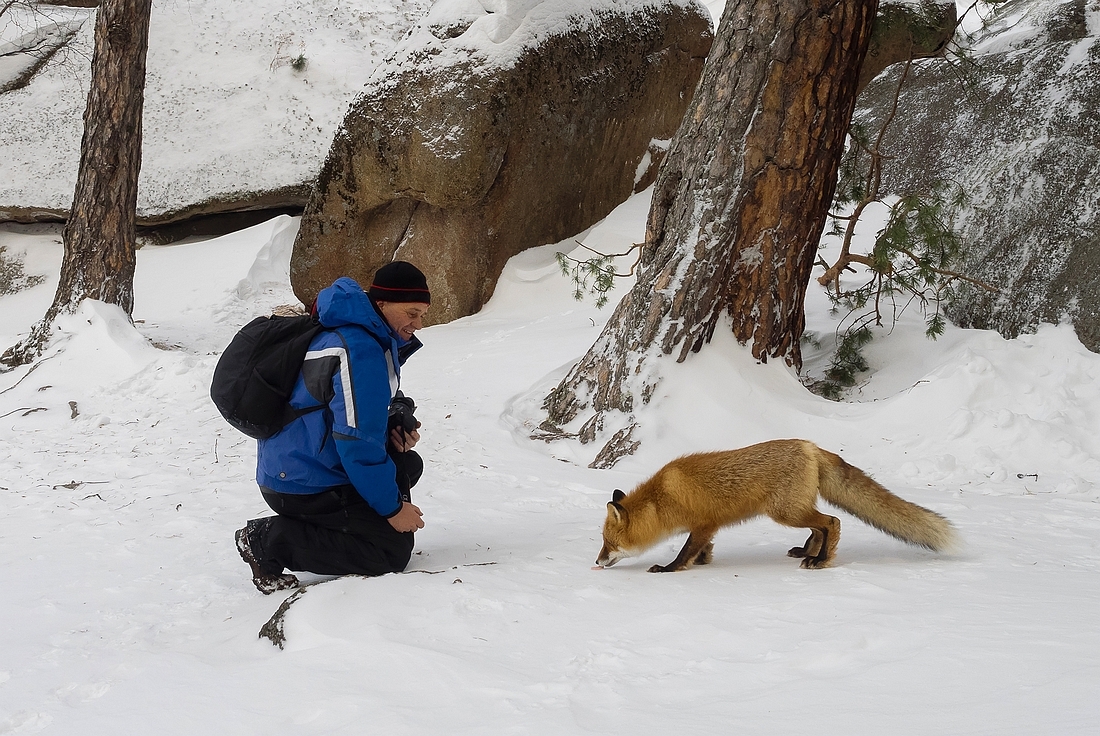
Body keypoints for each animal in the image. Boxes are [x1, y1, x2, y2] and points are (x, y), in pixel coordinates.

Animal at [598, 440, 959, 572]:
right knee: (819, 526)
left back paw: (821, 560)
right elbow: (702, 548)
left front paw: (670, 568)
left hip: (785, 512)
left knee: (832, 522)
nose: (598, 562)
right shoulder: (708, 527)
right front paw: (703, 561)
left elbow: (685, 551)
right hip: (793, 511)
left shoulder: (703, 523)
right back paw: (808, 552)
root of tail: (810, 445)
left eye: (608, 543)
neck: (663, 499)